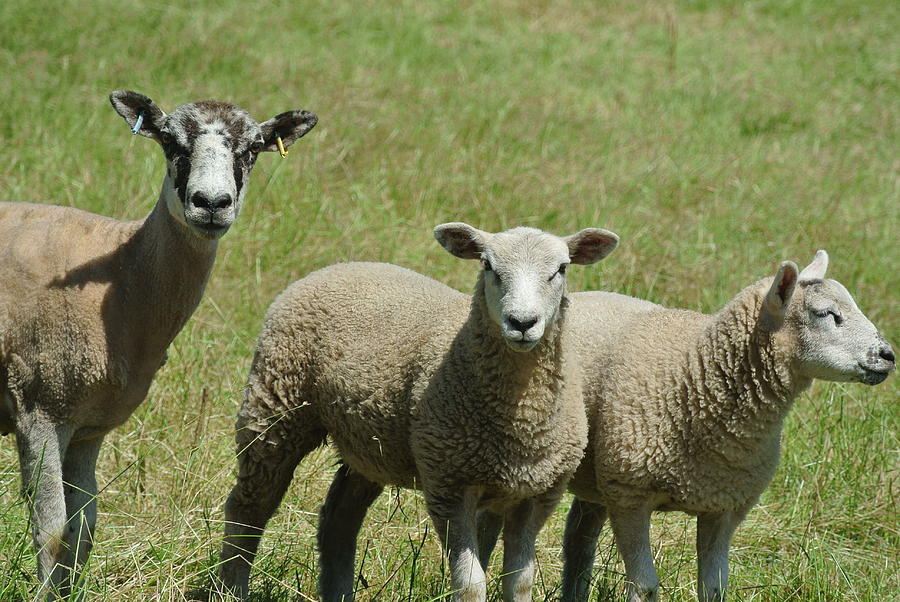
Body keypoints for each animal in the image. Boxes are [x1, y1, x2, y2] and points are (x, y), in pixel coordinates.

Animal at [0, 89, 320, 596]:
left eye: (253, 148)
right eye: (170, 142)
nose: (212, 203)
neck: (123, 272)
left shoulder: (89, 426)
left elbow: (83, 527)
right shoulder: (39, 409)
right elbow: (51, 531)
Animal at [218, 221, 624, 600]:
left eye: (561, 268)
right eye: (488, 265)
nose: (522, 323)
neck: (520, 411)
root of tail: (342, 265)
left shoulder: (537, 495)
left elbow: (520, 583)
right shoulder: (450, 486)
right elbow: (471, 585)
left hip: (370, 446)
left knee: (338, 518)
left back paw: (338, 592)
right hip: (275, 405)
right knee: (248, 507)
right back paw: (232, 587)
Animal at [556, 250, 892, 600]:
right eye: (826, 314)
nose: (888, 355)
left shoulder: (724, 506)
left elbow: (714, 587)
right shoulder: (629, 496)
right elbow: (644, 585)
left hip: (597, 479)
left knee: (579, 537)